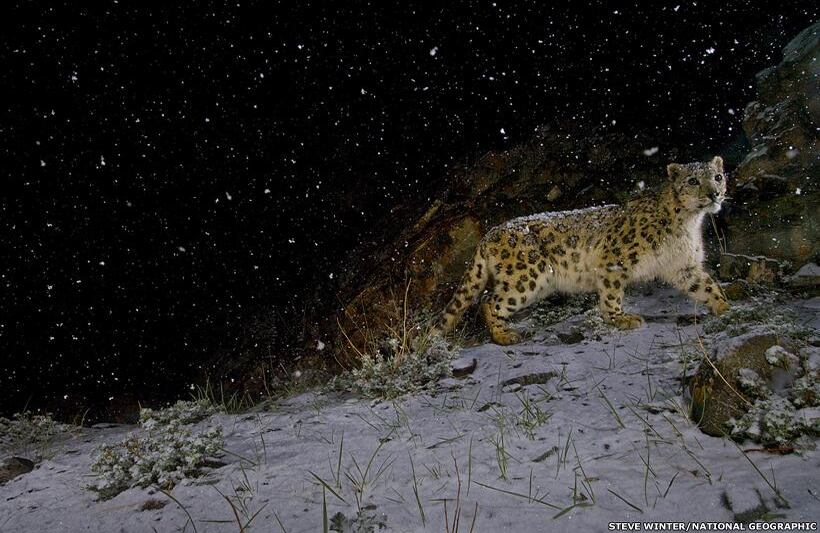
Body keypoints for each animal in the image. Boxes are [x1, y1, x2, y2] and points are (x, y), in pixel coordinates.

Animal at [434, 156, 730, 345]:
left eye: (717, 177)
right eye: (693, 180)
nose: (714, 193)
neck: (689, 222)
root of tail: (489, 234)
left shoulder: (683, 266)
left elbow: (707, 286)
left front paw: (725, 307)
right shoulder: (614, 260)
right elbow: (611, 295)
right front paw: (620, 319)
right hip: (528, 278)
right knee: (488, 302)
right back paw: (504, 336)